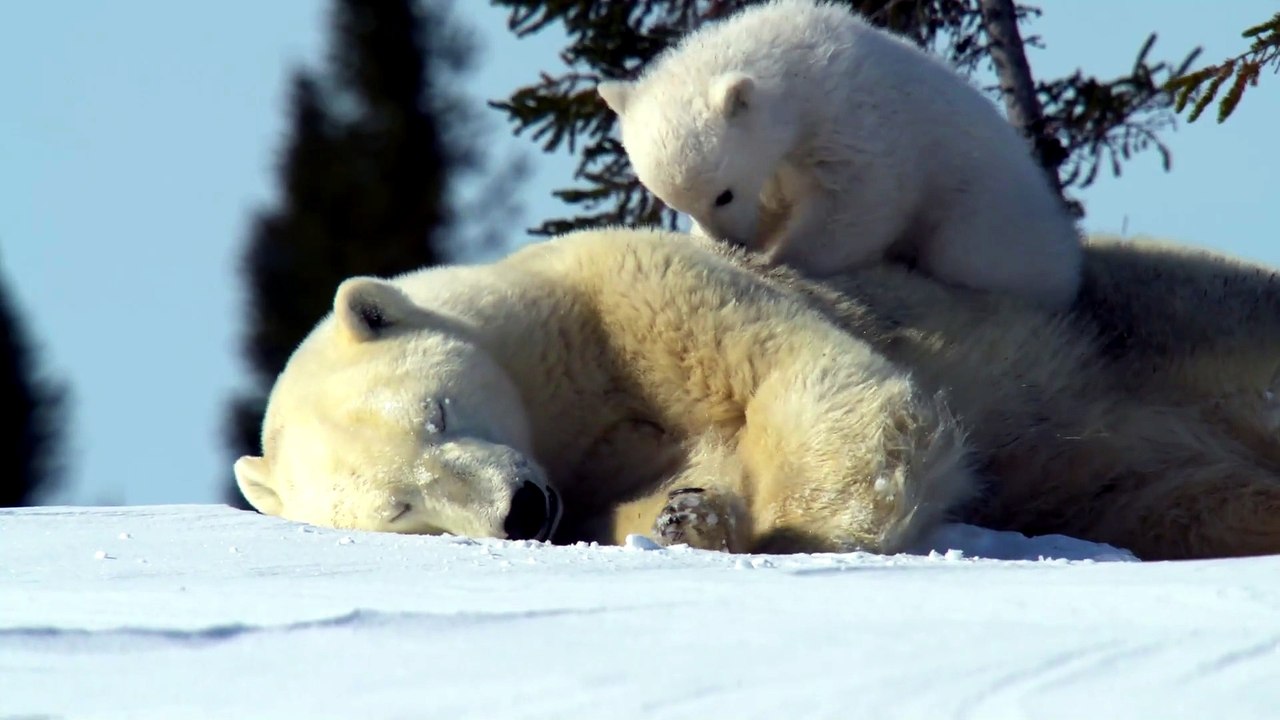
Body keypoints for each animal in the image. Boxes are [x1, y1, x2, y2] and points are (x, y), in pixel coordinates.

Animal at [233, 226, 1280, 561]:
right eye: (403, 508)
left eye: (437, 412)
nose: (522, 509)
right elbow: (654, 490)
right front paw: (692, 517)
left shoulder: (624, 289)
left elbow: (796, 376)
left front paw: (790, 531)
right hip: (1129, 478)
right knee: (1183, 496)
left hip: (1157, 319)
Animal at [595, 0, 1083, 310]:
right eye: (677, 205)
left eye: (723, 195)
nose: (732, 243)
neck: (804, 60)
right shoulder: (778, 163)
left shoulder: (851, 123)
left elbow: (858, 203)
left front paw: (783, 259)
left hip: (984, 210)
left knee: (971, 254)